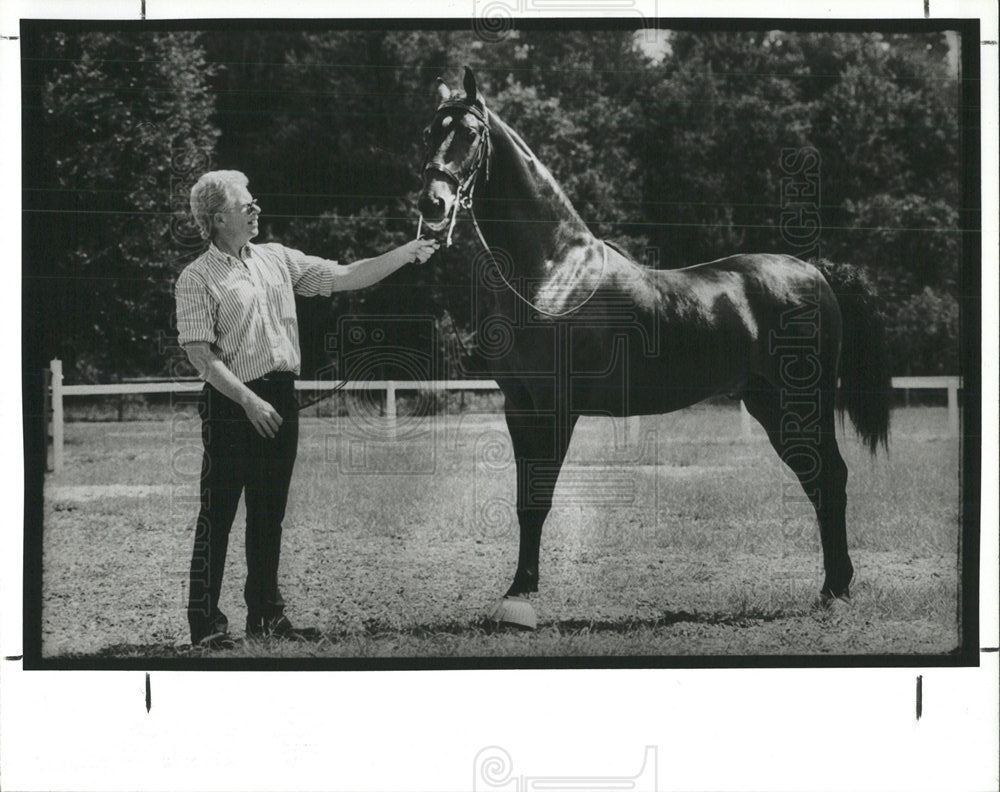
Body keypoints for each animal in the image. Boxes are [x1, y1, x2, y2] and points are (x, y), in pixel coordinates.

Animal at [414, 66, 892, 632]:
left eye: (468, 133)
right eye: (429, 132)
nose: (433, 203)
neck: (554, 272)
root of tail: (817, 272)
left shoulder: (555, 409)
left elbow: (539, 500)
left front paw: (523, 597)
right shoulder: (519, 407)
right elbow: (522, 502)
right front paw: (516, 594)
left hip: (804, 404)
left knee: (832, 479)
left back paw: (837, 590)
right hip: (772, 406)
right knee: (819, 481)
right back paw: (830, 588)